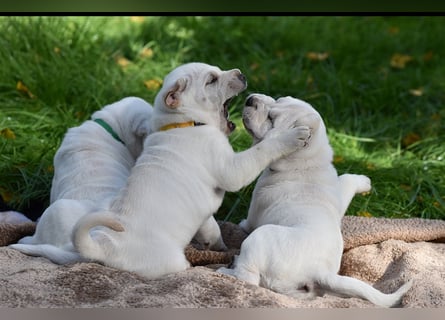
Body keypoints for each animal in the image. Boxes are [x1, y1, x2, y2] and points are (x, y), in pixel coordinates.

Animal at [71, 62, 310, 278]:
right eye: (211, 80)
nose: (241, 73)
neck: (184, 123)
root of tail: (105, 248)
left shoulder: (205, 215)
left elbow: (212, 229)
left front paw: (219, 246)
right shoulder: (232, 169)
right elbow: (261, 149)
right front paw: (291, 136)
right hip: (166, 261)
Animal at [217, 94, 412, 308]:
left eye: (271, 119)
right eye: (278, 99)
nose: (251, 98)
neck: (307, 164)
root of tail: (320, 271)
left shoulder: (254, 212)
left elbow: (246, 223)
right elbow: (346, 180)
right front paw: (365, 182)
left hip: (259, 237)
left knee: (248, 278)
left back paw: (225, 270)